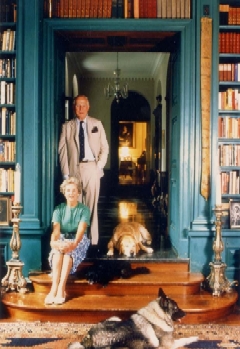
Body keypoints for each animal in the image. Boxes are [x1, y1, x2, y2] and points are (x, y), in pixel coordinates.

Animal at [66, 286, 198, 346]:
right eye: (175, 308)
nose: (186, 313)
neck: (158, 316)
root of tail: (88, 338)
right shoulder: (169, 344)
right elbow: (186, 339)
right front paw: (195, 338)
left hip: (116, 318)